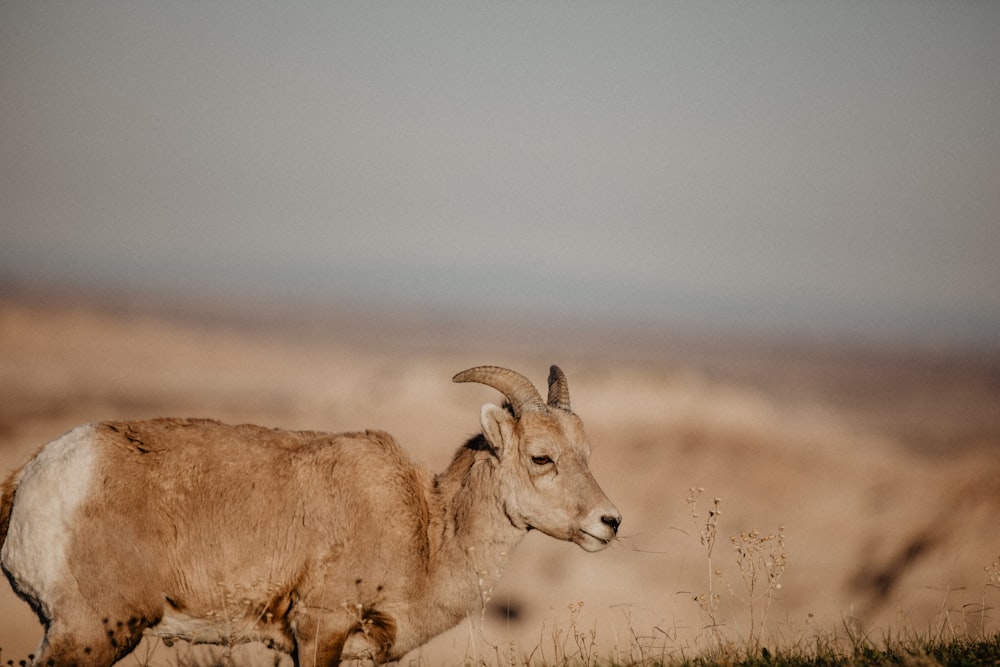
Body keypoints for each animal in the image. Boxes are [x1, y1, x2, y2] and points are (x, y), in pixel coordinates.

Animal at [0, 368, 620, 667]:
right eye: (541, 457)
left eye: (586, 453)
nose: (609, 523)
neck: (426, 532)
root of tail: (38, 475)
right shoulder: (321, 630)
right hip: (89, 637)